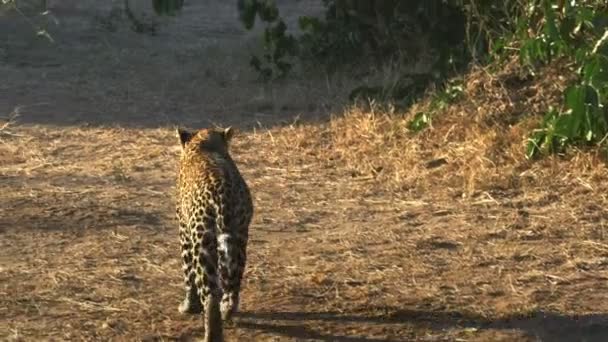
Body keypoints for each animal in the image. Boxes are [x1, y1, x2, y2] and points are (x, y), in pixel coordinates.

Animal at [175, 126, 253, 342]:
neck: (204, 145)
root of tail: (222, 192)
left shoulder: (184, 231)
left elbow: (188, 274)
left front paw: (188, 307)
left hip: (202, 238)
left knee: (209, 291)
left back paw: (212, 331)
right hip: (238, 236)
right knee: (232, 280)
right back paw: (227, 310)